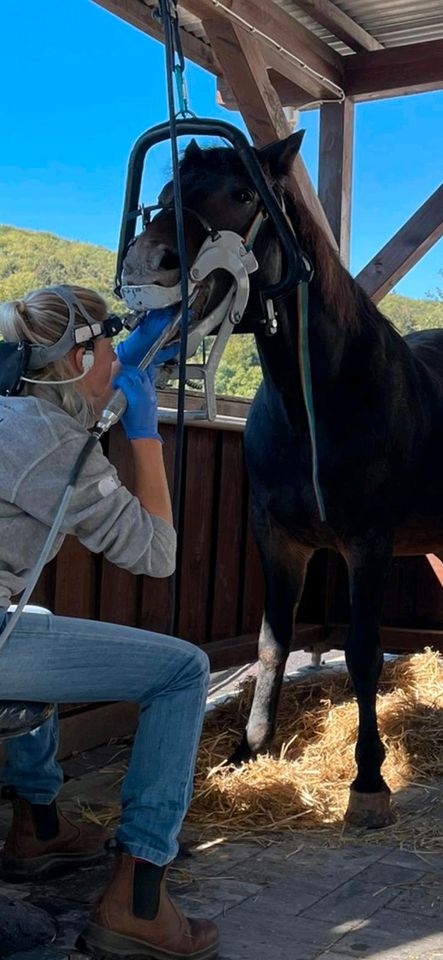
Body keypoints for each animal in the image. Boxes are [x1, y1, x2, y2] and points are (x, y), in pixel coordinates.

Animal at [121, 131, 443, 828]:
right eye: (165, 193)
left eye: (245, 194)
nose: (148, 263)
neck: (316, 401)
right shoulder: (278, 539)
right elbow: (271, 644)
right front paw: (249, 748)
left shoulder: (369, 545)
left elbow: (363, 653)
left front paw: (369, 780)